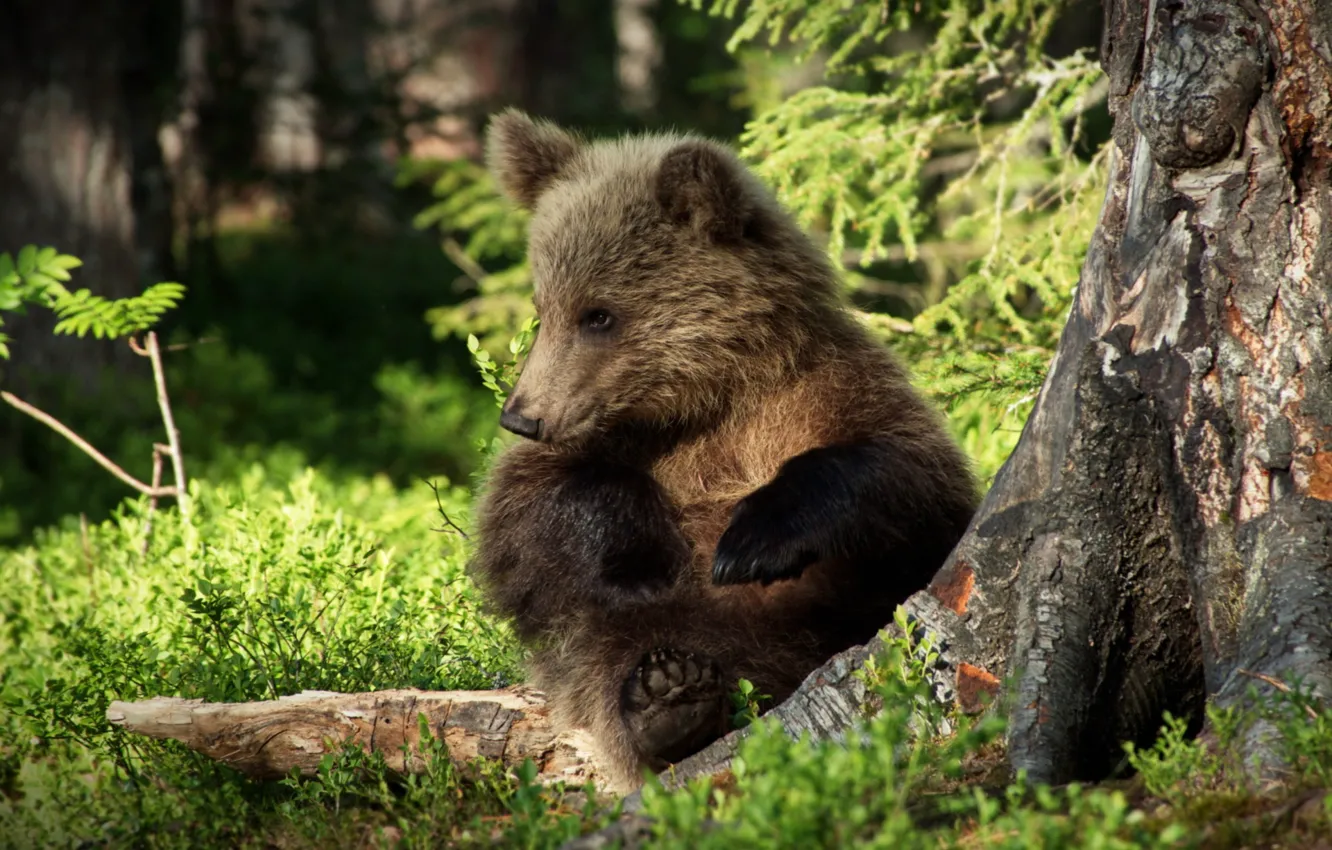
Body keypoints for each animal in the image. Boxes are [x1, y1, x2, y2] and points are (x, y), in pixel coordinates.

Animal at [468, 108, 979, 791]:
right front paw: (640, 548)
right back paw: (667, 699)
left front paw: (750, 541)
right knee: (613, 650)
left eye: (598, 314)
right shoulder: (602, 443)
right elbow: (524, 520)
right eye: (543, 306)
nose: (521, 415)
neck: (708, 396)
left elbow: (911, 473)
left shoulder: (825, 389)